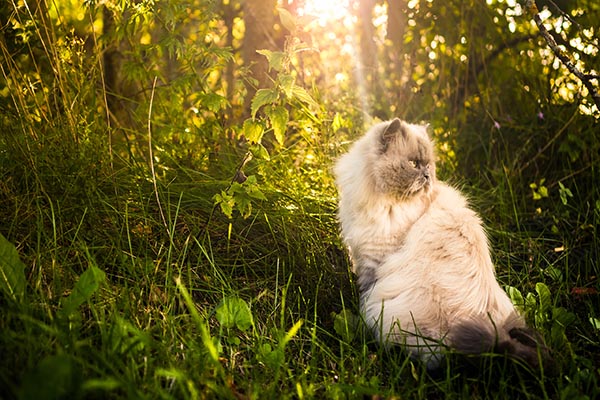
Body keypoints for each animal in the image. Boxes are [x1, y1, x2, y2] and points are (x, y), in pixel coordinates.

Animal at [332, 119, 552, 372]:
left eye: (428, 165)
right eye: (414, 164)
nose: (427, 175)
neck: (383, 200)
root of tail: (496, 337)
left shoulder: (374, 261)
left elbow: (363, 293)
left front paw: (356, 315)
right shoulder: (359, 253)